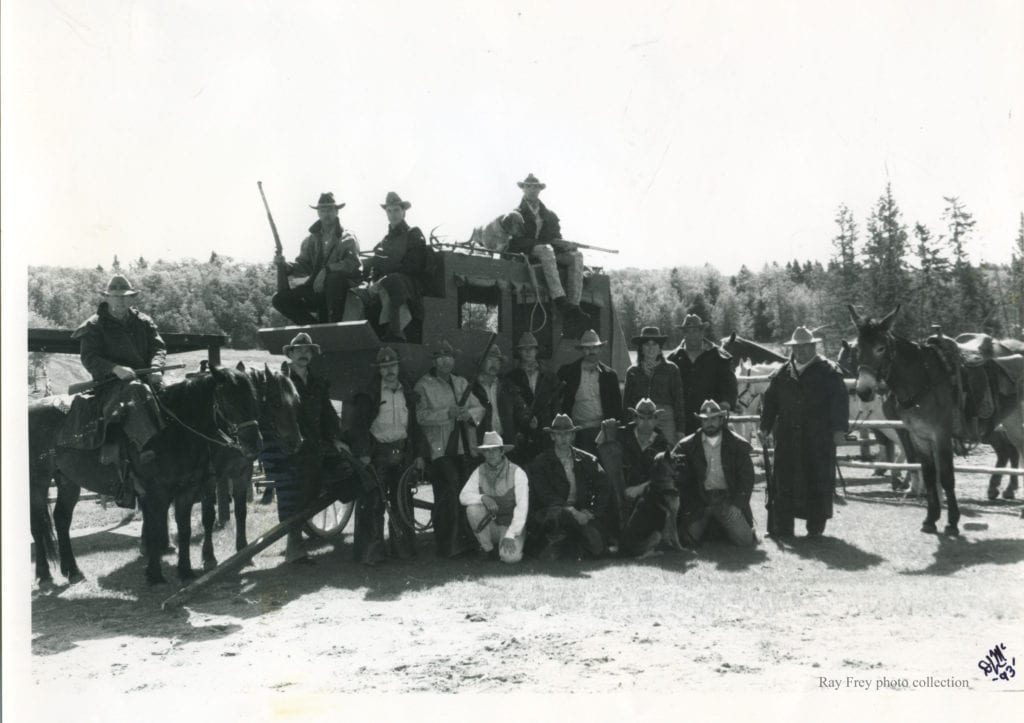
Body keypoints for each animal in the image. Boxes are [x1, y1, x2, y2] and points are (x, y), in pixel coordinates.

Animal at [32, 366, 264, 585]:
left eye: (254, 398)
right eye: (230, 401)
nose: (254, 444)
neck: (173, 431)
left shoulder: (187, 490)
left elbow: (184, 530)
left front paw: (185, 571)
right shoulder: (157, 492)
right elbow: (155, 528)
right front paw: (155, 574)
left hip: (67, 481)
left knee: (61, 519)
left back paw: (72, 571)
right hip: (38, 482)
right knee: (37, 524)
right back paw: (44, 575)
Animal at [843, 303, 962, 536]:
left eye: (880, 348)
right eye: (857, 349)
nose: (863, 391)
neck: (924, 381)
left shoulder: (940, 435)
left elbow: (945, 475)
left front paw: (952, 522)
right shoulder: (919, 435)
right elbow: (926, 470)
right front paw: (930, 518)